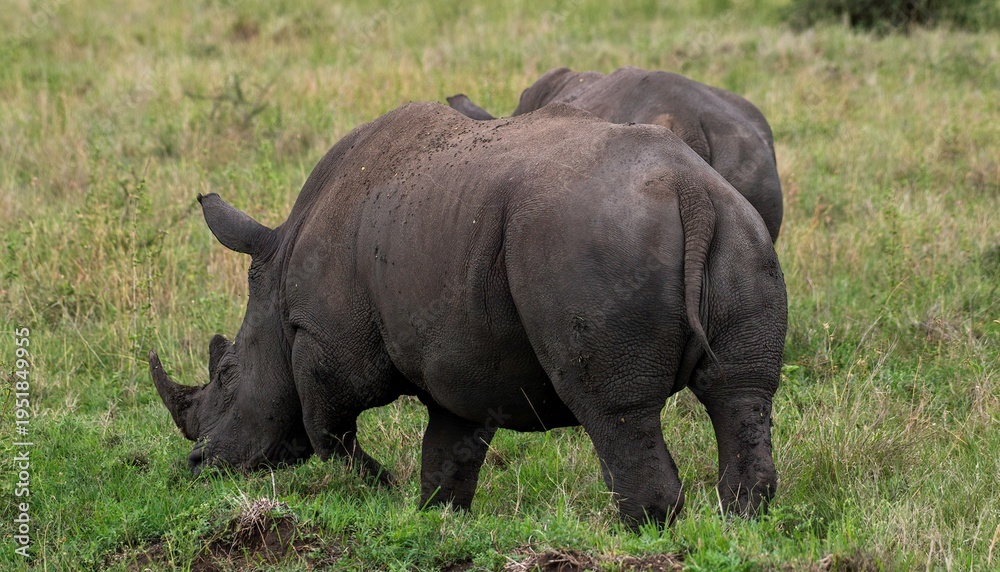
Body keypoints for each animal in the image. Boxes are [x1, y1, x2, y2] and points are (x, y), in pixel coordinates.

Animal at [149, 101, 786, 529]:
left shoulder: (330, 342)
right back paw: (739, 523)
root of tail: (687, 187)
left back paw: (642, 533)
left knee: (617, 409)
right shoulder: (462, 356)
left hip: (592, 242)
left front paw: (381, 488)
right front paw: (437, 517)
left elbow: (324, 424)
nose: (197, 464)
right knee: (742, 392)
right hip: (740, 228)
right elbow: (450, 447)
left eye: (227, 375)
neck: (279, 270)